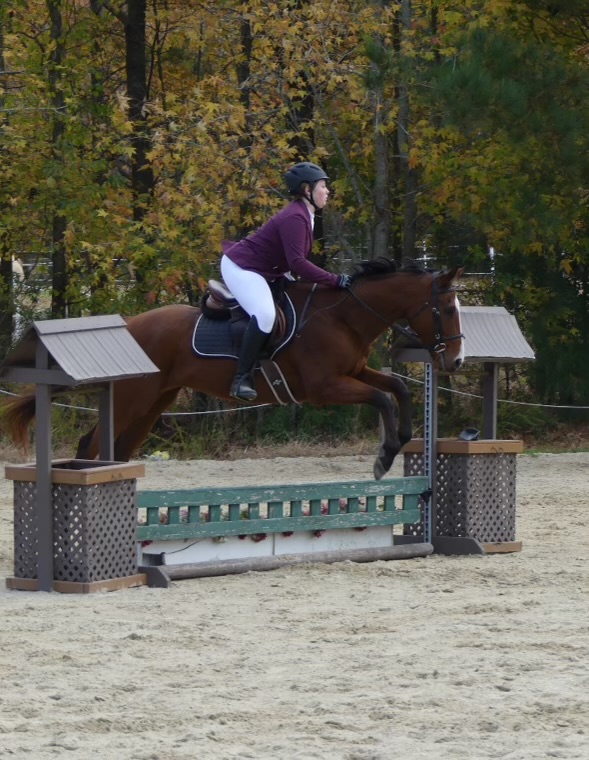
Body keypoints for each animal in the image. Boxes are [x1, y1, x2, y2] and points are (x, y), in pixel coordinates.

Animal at [1, 258, 465, 480]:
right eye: (445, 309)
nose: (455, 361)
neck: (343, 316)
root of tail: (128, 325)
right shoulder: (325, 387)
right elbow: (382, 398)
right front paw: (384, 456)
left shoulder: (355, 372)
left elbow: (397, 389)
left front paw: (401, 440)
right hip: (134, 399)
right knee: (91, 443)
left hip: (155, 402)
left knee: (120, 447)